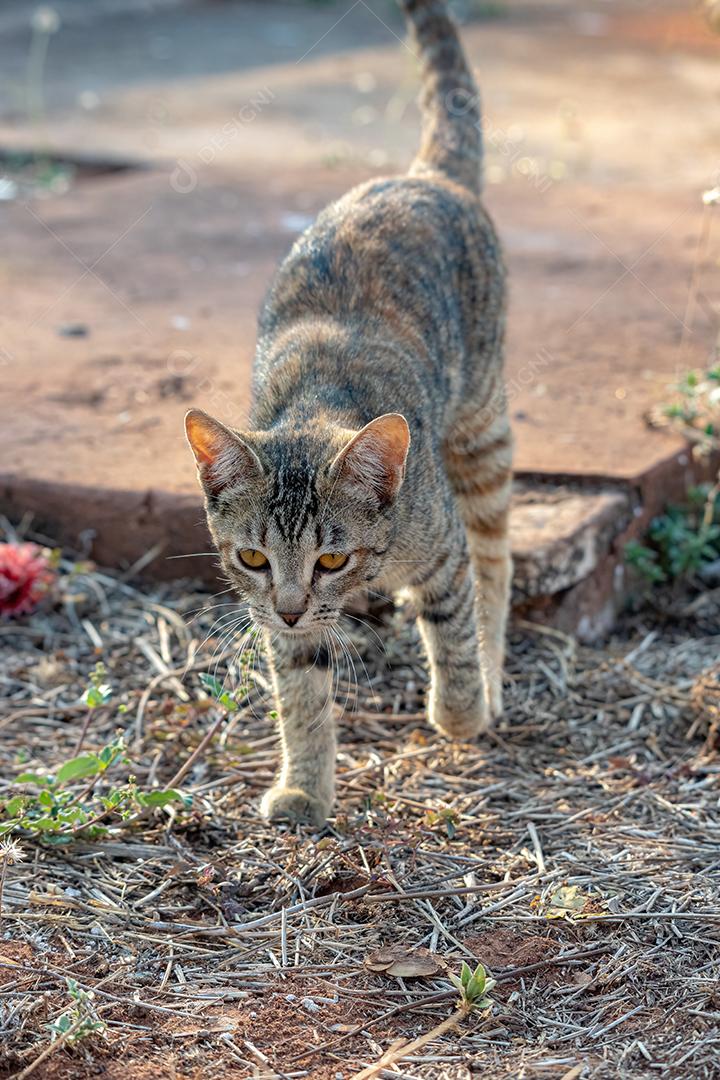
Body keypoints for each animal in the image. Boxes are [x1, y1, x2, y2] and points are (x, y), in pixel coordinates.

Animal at [185, 0, 511, 825]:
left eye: (331, 558)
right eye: (253, 558)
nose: (294, 608)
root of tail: (422, 174)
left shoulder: (440, 547)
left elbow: (453, 631)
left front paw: (462, 711)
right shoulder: (277, 623)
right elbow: (300, 695)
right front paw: (306, 785)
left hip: (483, 429)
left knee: (496, 557)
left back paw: (492, 675)